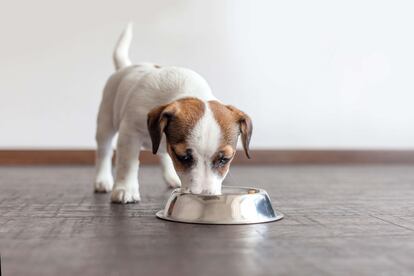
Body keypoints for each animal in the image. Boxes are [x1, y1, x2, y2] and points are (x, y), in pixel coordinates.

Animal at [94, 23, 252, 204]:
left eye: (224, 159)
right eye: (184, 158)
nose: (204, 195)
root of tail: (125, 67)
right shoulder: (130, 133)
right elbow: (128, 163)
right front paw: (125, 189)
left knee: (162, 154)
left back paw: (171, 177)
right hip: (105, 122)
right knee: (104, 151)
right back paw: (102, 180)